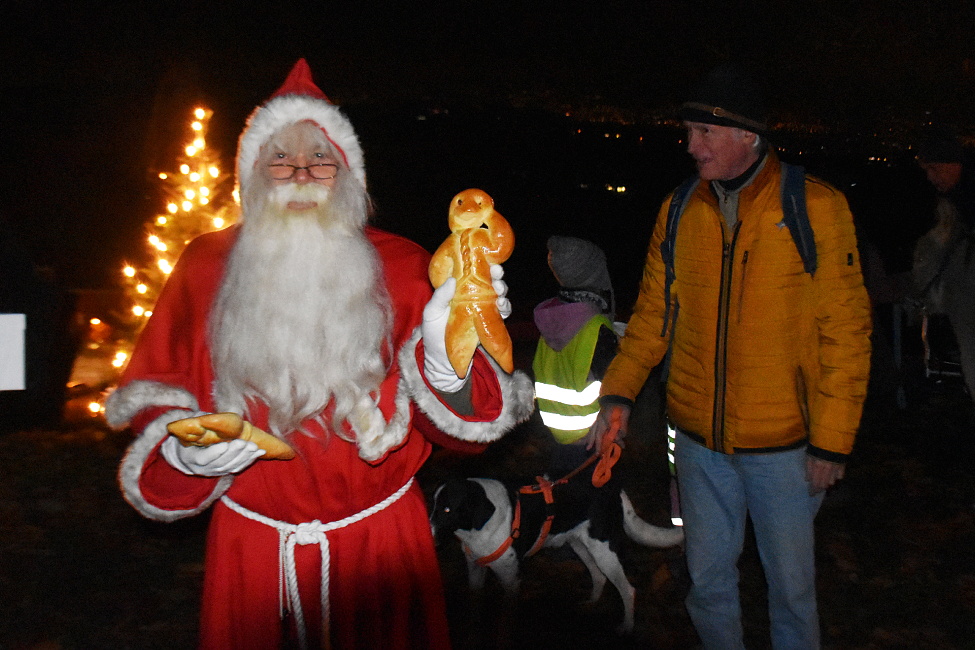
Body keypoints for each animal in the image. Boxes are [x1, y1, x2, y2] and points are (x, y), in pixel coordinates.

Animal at [430, 474, 684, 632]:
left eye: (447, 509)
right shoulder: (475, 571)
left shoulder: (511, 580)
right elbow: (474, 609)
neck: (477, 530)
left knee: (627, 590)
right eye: (433, 506)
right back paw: (591, 602)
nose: (428, 535)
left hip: (604, 550)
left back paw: (627, 627)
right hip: (581, 546)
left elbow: (506, 619)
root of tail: (611, 487)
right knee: (598, 576)